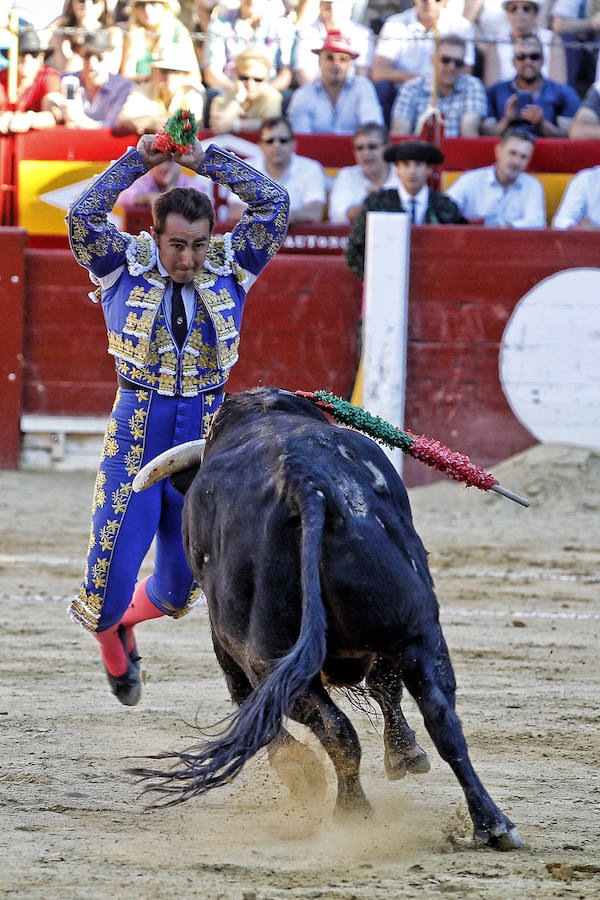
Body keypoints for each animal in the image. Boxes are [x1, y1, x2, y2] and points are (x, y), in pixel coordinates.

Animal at [131, 388, 520, 852]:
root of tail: (307, 486)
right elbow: (385, 687)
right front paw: (404, 755)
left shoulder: (226, 643)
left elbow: (249, 702)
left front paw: (302, 771)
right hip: (417, 632)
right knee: (441, 718)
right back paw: (493, 824)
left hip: (265, 652)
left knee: (331, 726)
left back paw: (352, 811)